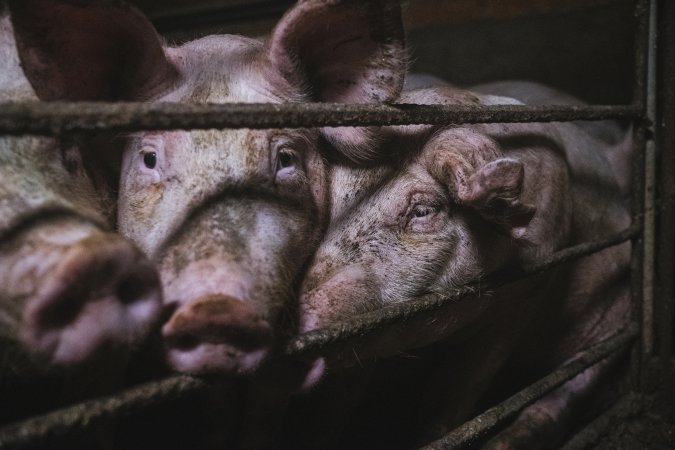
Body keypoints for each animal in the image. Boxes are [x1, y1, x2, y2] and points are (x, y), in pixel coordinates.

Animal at [294, 85, 631, 448]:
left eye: (423, 211)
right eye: (328, 202)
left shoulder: (527, 290)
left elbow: (454, 392)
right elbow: (339, 403)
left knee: (561, 398)